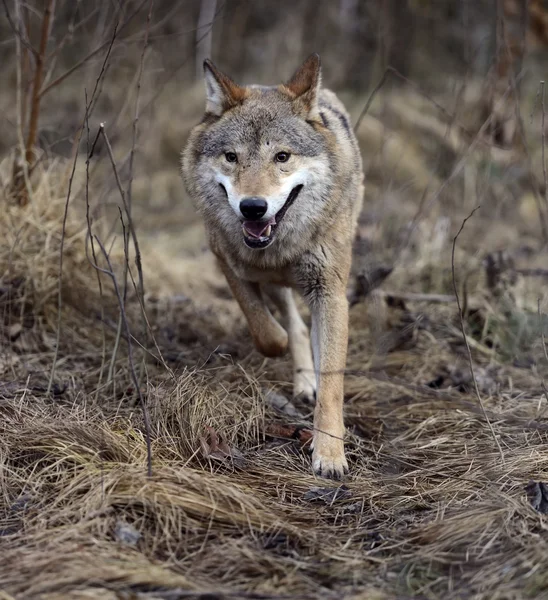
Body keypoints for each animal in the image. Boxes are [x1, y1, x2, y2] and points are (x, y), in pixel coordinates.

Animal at [181, 55, 364, 478]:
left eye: (282, 157)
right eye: (231, 157)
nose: (253, 207)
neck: (280, 250)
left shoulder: (330, 293)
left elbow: (332, 384)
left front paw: (329, 455)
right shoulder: (227, 262)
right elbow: (266, 331)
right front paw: (279, 344)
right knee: (293, 322)